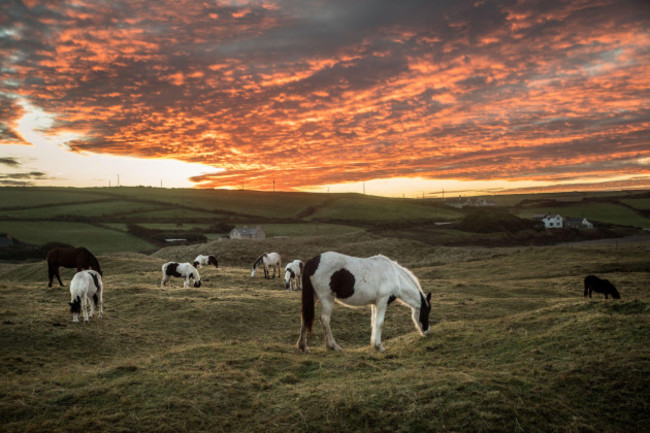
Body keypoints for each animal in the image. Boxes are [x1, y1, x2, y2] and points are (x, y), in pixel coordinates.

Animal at [298, 250, 430, 352]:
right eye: (426, 312)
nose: (426, 331)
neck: (394, 276)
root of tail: (313, 261)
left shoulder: (375, 304)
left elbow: (374, 322)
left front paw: (374, 344)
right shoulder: (382, 302)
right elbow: (379, 323)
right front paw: (379, 347)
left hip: (314, 297)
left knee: (305, 317)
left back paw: (303, 347)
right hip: (327, 299)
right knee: (324, 319)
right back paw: (333, 346)